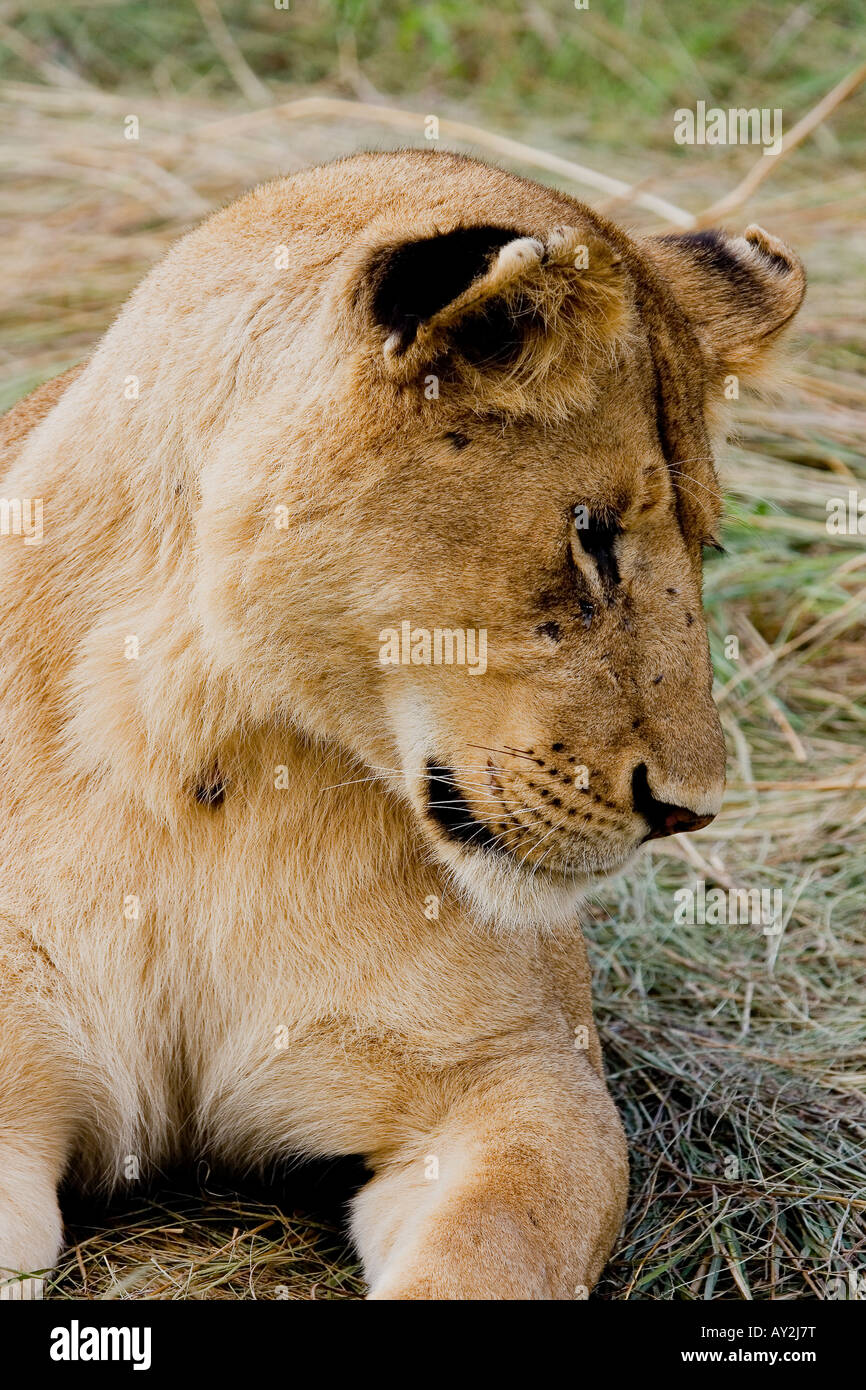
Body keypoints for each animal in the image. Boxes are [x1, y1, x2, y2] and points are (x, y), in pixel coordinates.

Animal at [0, 150, 804, 1299]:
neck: (211, 757)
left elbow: (490, 1253)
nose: (691, 812)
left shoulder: (520, 1079)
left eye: (705, 545)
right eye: (591, 534)